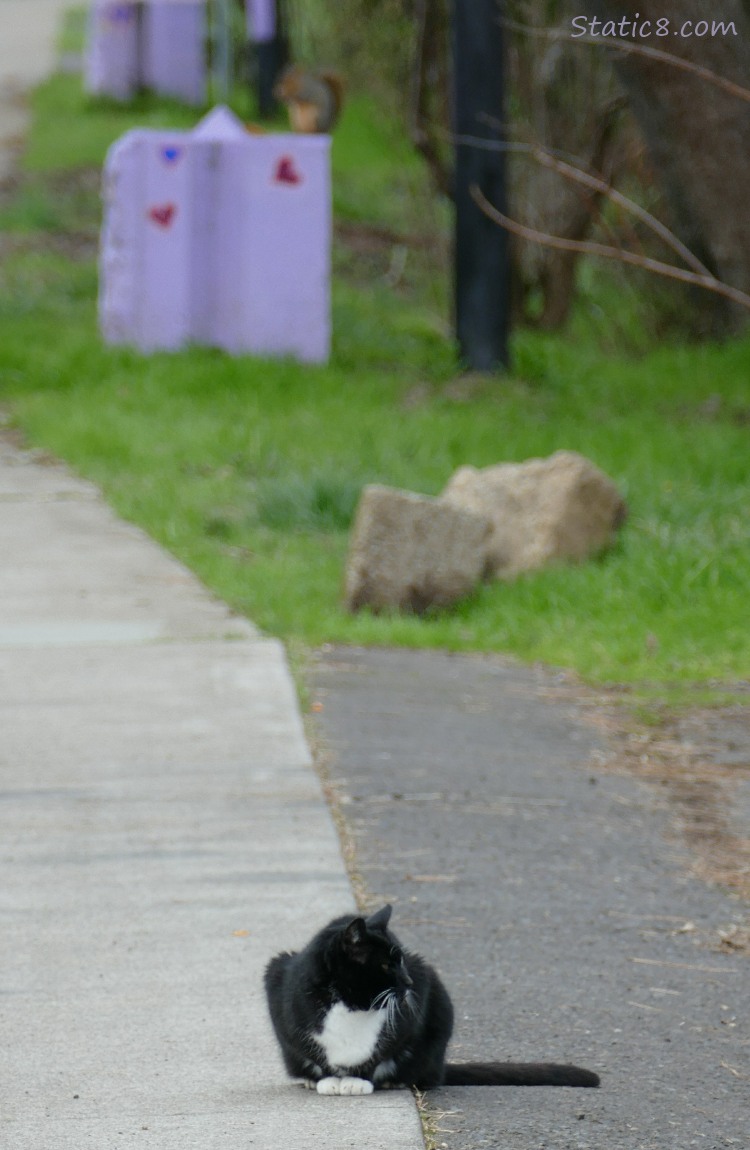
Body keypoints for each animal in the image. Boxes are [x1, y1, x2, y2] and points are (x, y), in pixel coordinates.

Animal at [266, 901, 602, 1090]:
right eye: (386, 964)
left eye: (403, 959)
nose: (408, 981)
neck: (353, 1006)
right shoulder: (280, 989)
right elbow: (311, 1050)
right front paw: (326, 1079)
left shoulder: (415, 1004)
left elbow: (379, 1053)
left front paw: (357, 1081)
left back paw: (395, 1080)